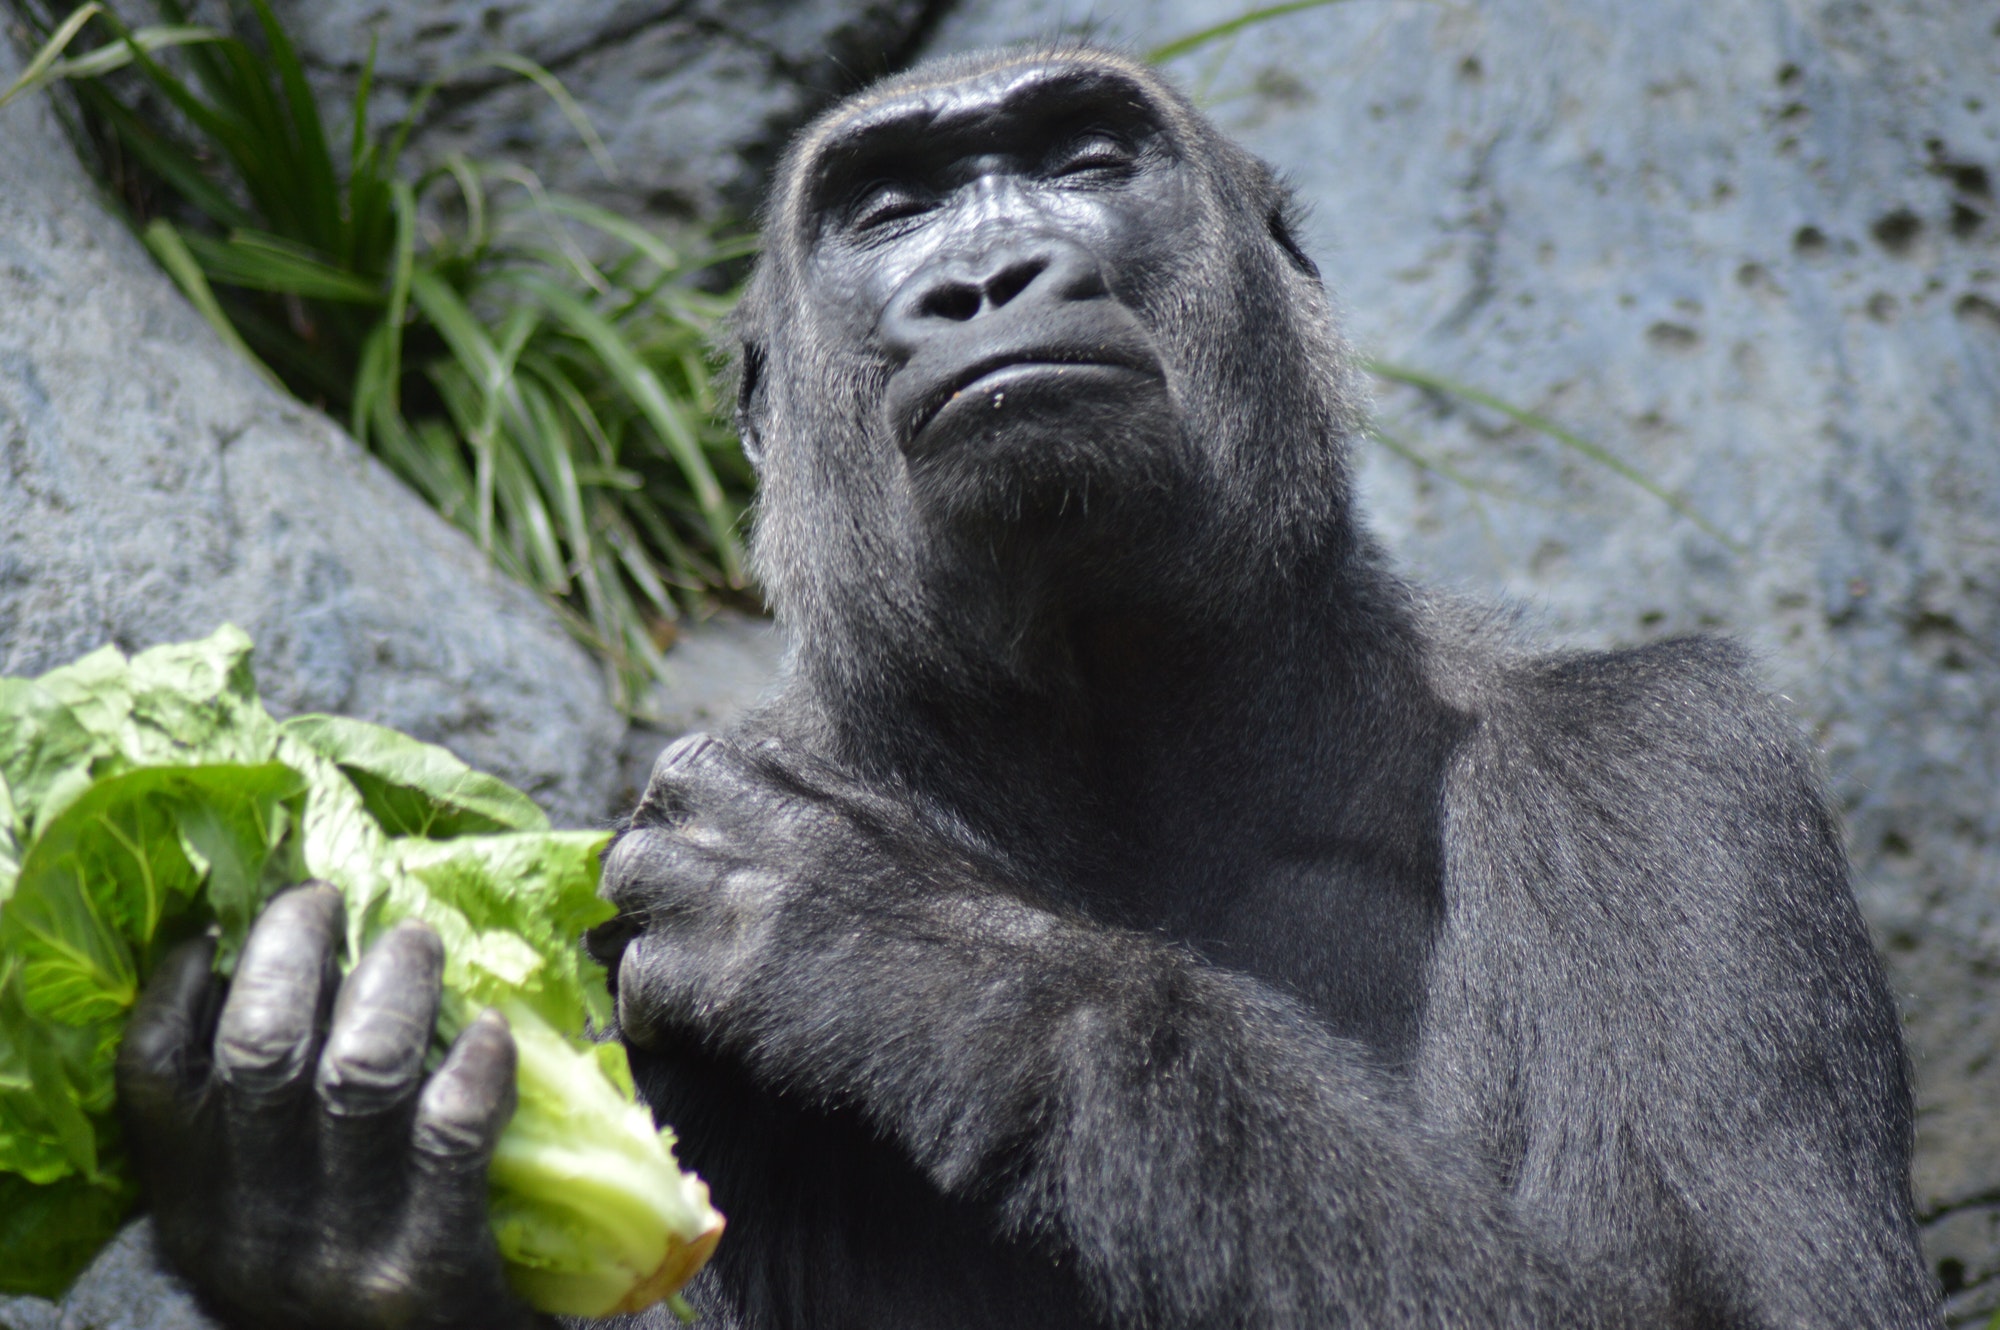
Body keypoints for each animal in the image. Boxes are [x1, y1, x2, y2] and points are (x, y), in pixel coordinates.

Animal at [121, 46, 1936, 1320]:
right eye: (888, 210)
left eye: (1083, 159)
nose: (986, 281)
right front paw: (330, 1205)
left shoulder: (1674, 769)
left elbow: (1752, 1302)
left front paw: (943, 964)